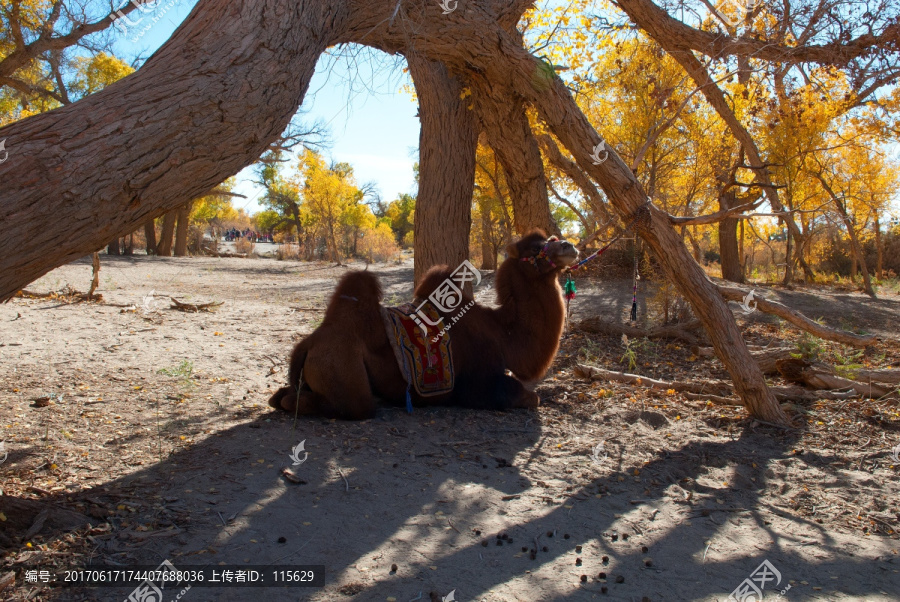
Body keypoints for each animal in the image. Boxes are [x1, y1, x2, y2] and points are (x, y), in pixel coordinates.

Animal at [268, 230, 576, 418]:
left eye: (552, 237)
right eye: (535, 248)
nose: (569, 245)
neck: (503, 333)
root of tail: (308, 343)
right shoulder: (475, 384)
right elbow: (526, 396)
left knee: (281, 396)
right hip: (344, 373)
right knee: (349, 405)